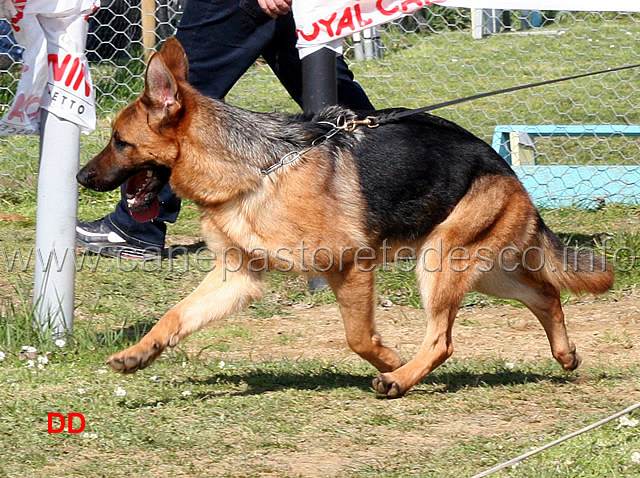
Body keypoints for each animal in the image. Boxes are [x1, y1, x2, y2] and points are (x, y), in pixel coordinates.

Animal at [77, 37, 612, 398]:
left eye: (119, 141)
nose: (80, 176)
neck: (256, 170)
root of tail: (505, 169)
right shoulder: (237, 277)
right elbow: (176, 314)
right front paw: (139, 353)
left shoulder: (349, 267)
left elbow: (357, 337)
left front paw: (389, 359)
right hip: (475, 270)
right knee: (545, 294)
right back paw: (564, 354)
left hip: (441, 264)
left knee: (442, 341)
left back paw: (400, 379)